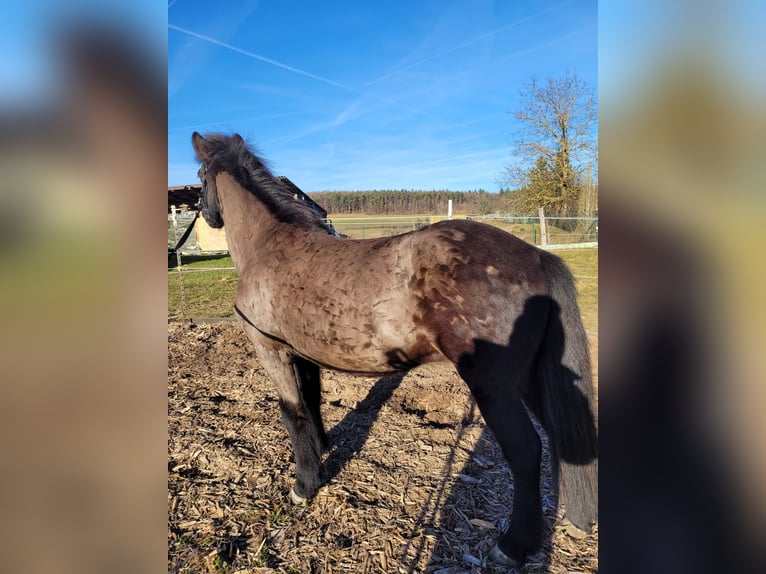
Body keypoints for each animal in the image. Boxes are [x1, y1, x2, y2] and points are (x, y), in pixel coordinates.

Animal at [191, 132, 598, 568]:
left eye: (199, 177)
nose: (206, 216)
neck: (269, 246)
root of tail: (537, 257)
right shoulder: (303, 353)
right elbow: (312, 402)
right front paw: (322, 452)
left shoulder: (272, 352)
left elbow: (293, 413)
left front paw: (303, 486)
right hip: (529, 380)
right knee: (563, 439)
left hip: (494, 387)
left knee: (526, 451)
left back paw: (513, 545)